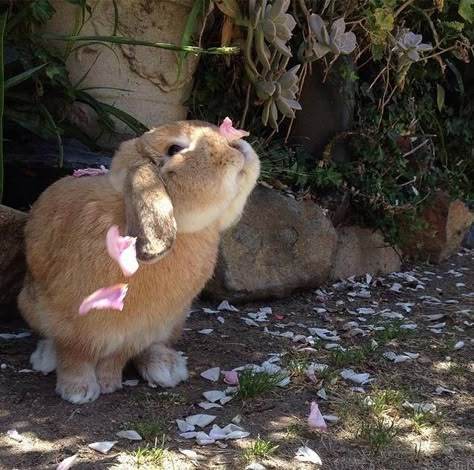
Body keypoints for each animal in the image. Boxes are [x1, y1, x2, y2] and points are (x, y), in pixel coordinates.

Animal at [17, 120, 260, 404]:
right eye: (175, 148)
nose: (238, 144)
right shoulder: (72, 325)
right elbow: (75, 356)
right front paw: (78, 391)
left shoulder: (137, 331)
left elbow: (116, 358)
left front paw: (108, 383)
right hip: (30, 305)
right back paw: (46, 358)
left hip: (174, 321)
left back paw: (166, 369)